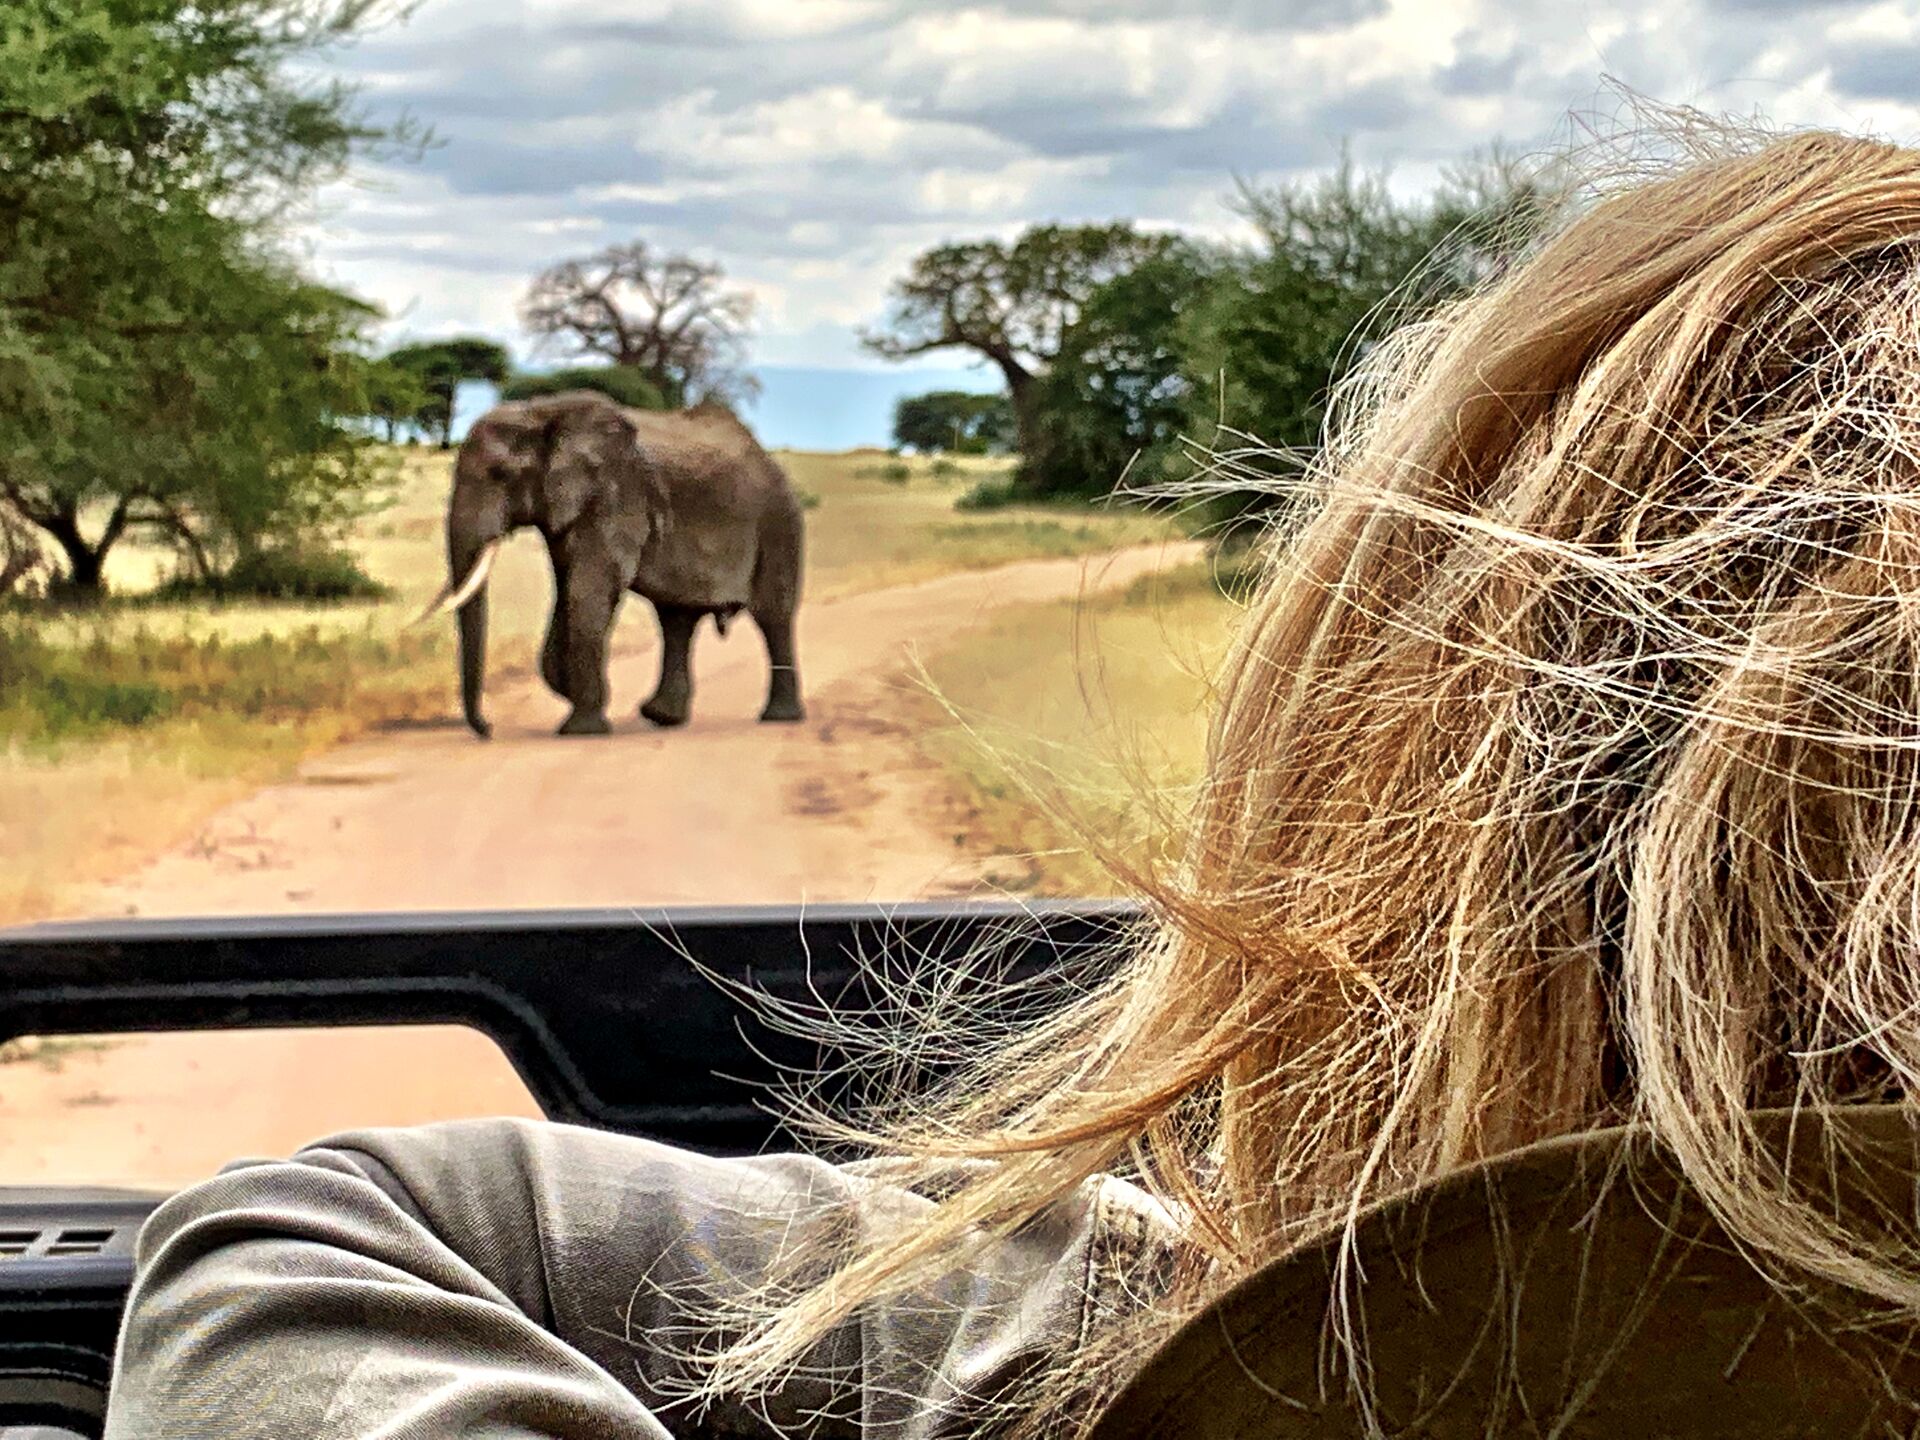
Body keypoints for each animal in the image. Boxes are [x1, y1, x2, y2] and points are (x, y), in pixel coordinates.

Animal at [425, 390, 805, 738]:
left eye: (500, 474)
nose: (488, 729)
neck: (542, 411)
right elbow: (567, 590)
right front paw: (575, 692)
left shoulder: (617, 496)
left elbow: (588, 591)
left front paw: (583, 729)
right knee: (676, 619)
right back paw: (661, 716)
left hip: (778, 522)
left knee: (773, 615)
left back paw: (778, 718)